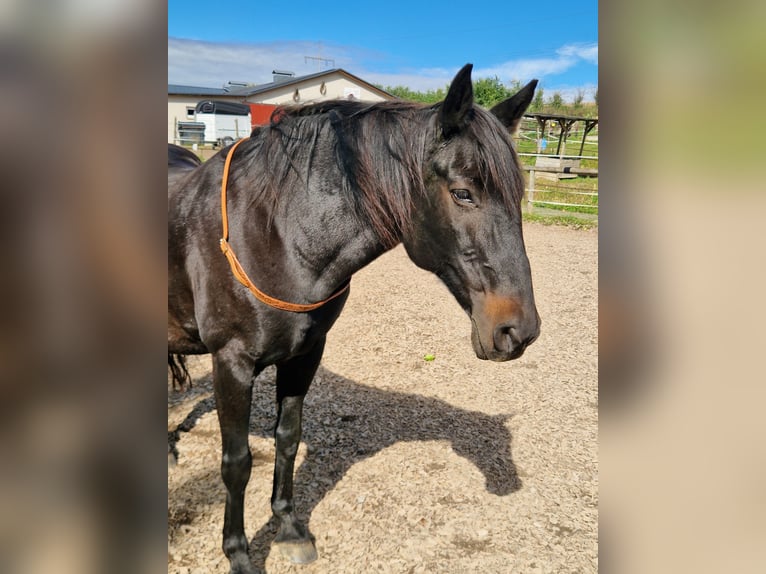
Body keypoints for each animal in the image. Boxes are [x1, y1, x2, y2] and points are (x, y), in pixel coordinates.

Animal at [168, 63, 541, 573]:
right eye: (463, 193)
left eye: (519, 194)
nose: (519, 332)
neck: (274, 231)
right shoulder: (232, 364)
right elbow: (237, 462)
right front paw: (239, 554)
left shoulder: (305, 354)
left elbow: (288, 439)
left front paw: (289, 530)